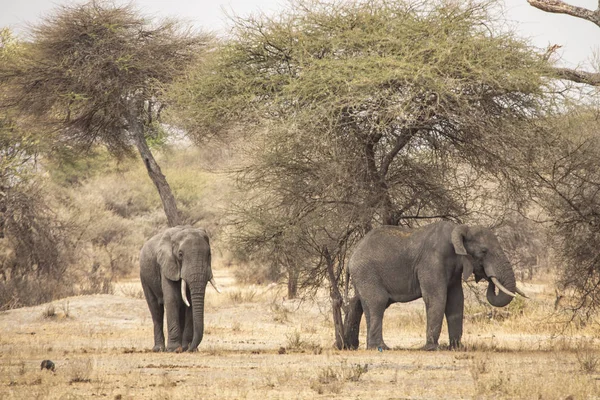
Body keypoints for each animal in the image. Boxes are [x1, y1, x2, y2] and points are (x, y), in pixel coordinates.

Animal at [346, 222, 524, 350]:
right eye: (484, 251)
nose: (488, 277)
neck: (459, 229)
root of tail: (352, 254)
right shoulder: (432, 262)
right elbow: (437, 298)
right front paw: (432, 348)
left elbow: (456, 301)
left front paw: (456, 348)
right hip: (367, 273)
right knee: (378, 302)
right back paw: (381, 347)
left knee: (362, 304)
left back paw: (363, 346)